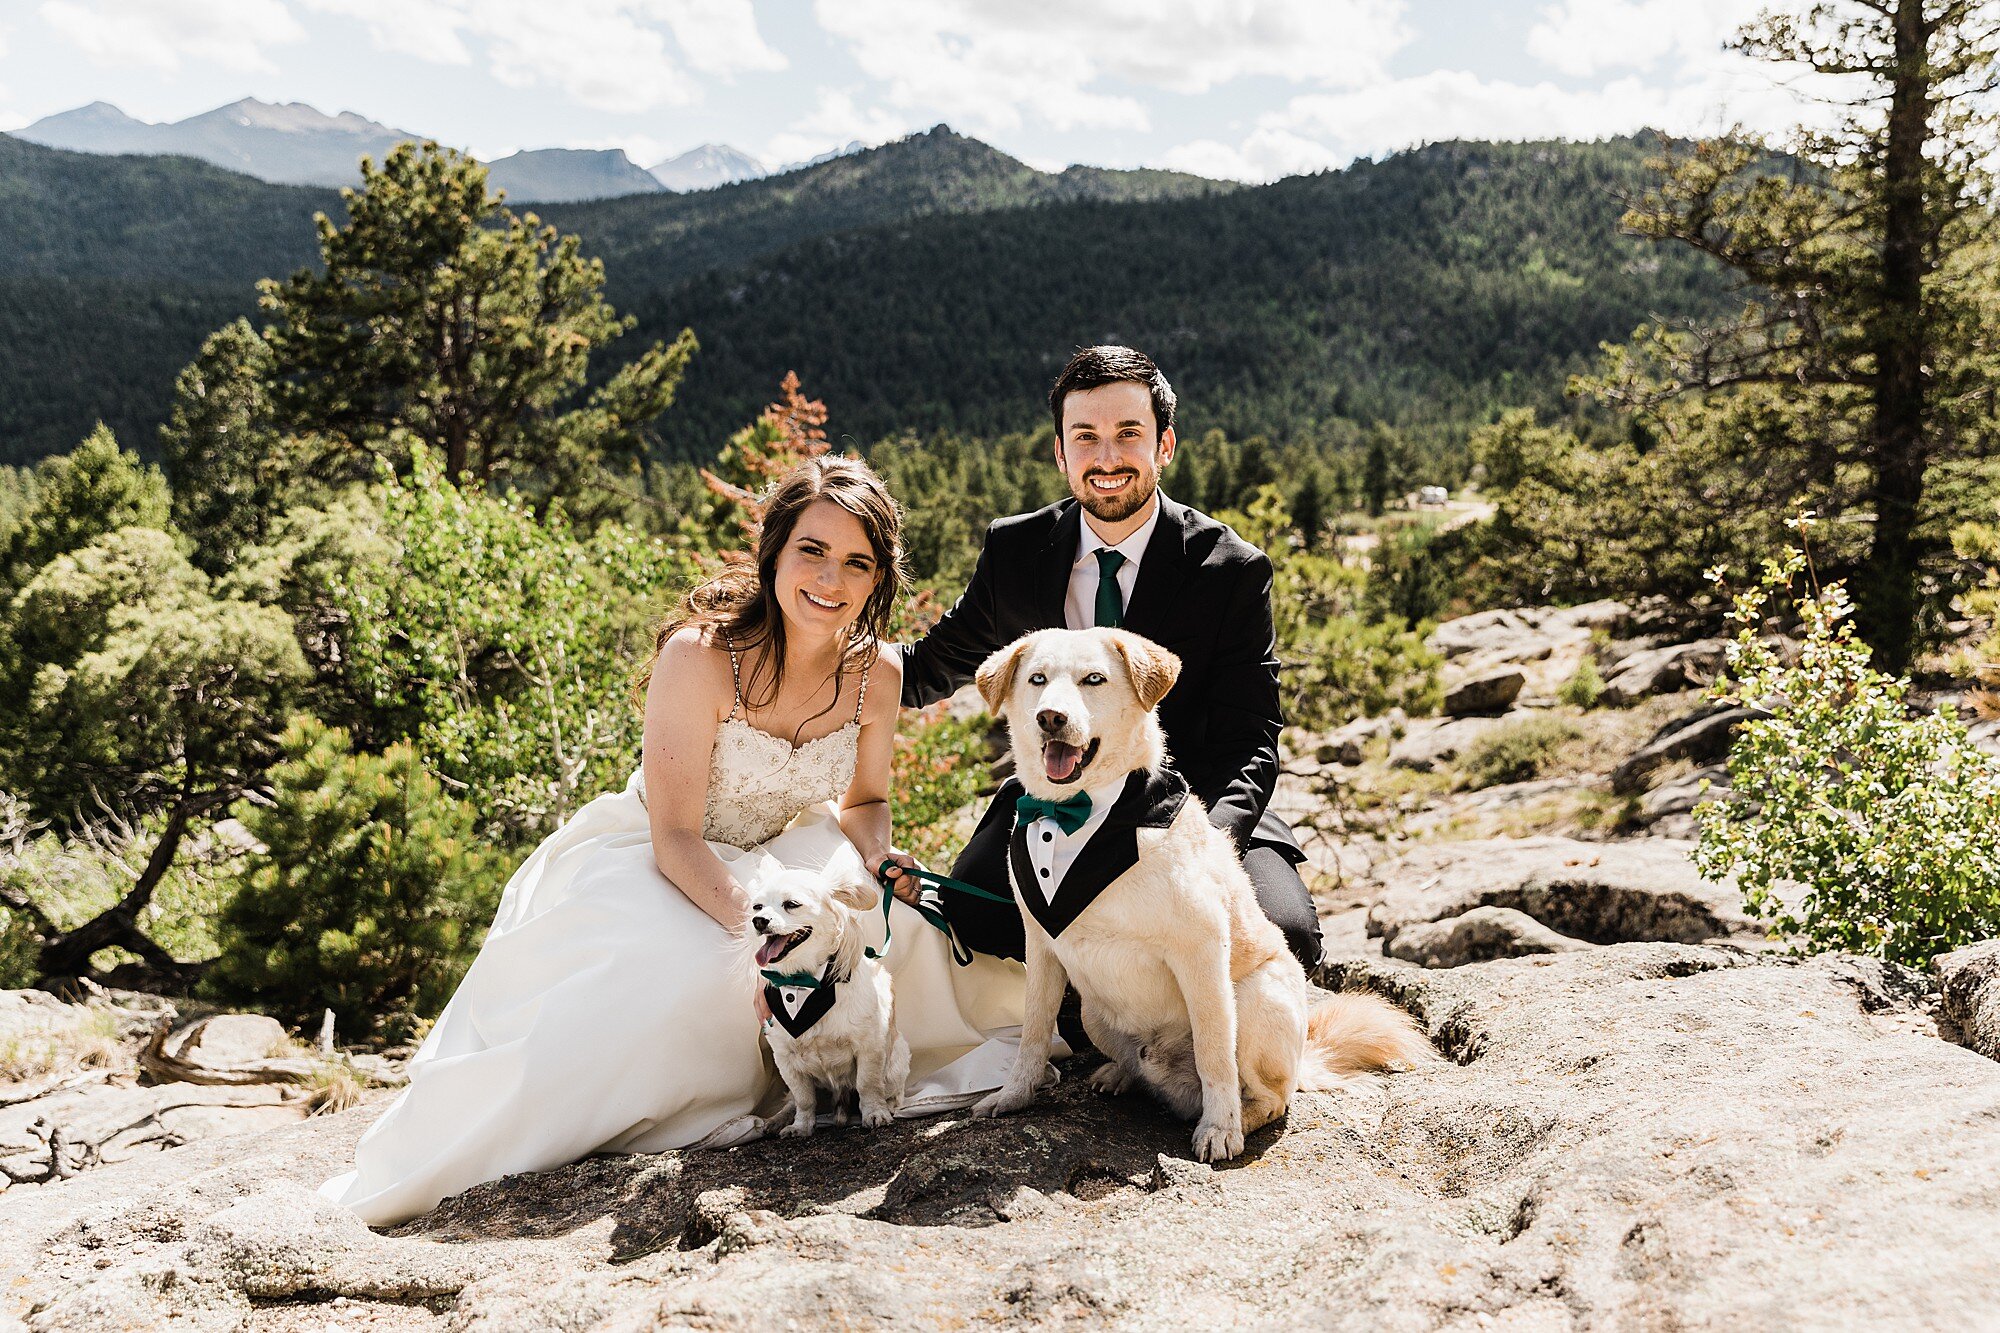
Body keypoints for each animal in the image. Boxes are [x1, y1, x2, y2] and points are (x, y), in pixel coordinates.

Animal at [748, 860, 912, 1128]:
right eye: (757, 907)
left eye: (791, 904)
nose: (758, 920)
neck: (802, 980)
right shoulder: (786, 1059)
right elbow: (803, 1099)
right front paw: (801, 1126)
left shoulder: (869, 1047)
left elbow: (868, 1085)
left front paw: (875, 1112)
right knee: (792, 1101)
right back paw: (778, 1120)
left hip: (896, 1062)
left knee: (892, 1091)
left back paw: (889, 1106)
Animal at [964, 624, 1424, 1152]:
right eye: (1037, 679)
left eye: (1093, 679)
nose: (1050, 718)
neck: (1075, 814)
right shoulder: (1040, 948)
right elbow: (1033, 1033)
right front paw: (1014, 1096)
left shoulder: (1200, 950)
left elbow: (1214, 1051)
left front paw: (1220, 1128)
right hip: (1095, 1014)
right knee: (1136, 1066)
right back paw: (1120, 1074)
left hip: (1257, 999)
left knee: (1272, 1097)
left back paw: (1239, 1116)